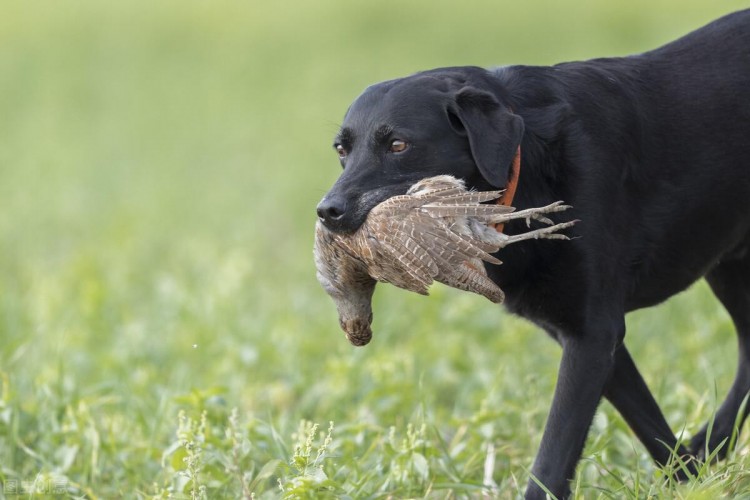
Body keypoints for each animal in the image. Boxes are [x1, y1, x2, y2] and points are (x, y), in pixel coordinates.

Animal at [316, 9, 750, 498]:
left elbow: (555, 452)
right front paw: (691, 478)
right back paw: (712, 444)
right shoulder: (587, 337)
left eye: (398, 145)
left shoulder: (592, 334)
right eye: (342, 150)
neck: (526, 167)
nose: (327, 211)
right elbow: (649, 424)